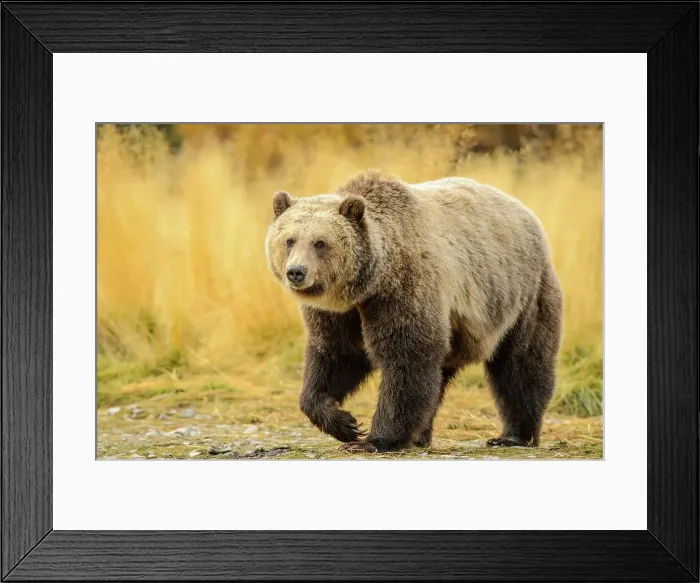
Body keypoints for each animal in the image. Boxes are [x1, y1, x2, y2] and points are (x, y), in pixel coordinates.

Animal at [265, 171, 563, 453]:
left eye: (320, 242)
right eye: (290, 240)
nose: (296, 272)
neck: (369, 284)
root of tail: (524, 210)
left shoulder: (404, 288)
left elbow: (408, 356)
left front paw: (373, 440)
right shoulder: (339, 313)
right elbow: (336, 354)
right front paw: (344, 423)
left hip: (522, 292)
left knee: (521, 363)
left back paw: (513, 436)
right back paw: (421, 436)